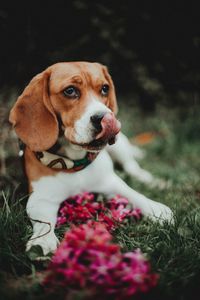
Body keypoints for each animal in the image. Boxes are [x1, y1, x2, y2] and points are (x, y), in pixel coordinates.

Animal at [8, 62, 173, 254]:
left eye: (104, 89)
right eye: (70, 91)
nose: (105, 117)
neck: (74, 163)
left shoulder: (110, 183)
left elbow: (134, 194)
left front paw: (156, 209)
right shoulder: (40, 199)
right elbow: (44, 224)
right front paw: (42, 242)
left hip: (120, 146)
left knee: (132, 166)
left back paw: (153, 180)